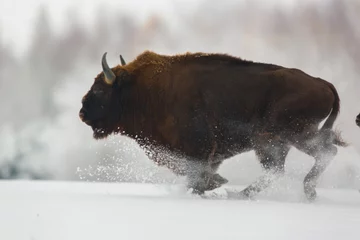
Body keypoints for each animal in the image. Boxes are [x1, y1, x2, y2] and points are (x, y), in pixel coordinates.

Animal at [79, 50, 346, 201]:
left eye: (100, 89)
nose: (82, 112)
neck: (139, 90)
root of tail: (323, 83)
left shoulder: (199, 147)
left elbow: (194, 171)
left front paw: (213, 184)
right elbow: (190, 171)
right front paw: (206, 186)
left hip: (281, 137)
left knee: (299, 161)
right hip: (292, 139)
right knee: (316, 156)